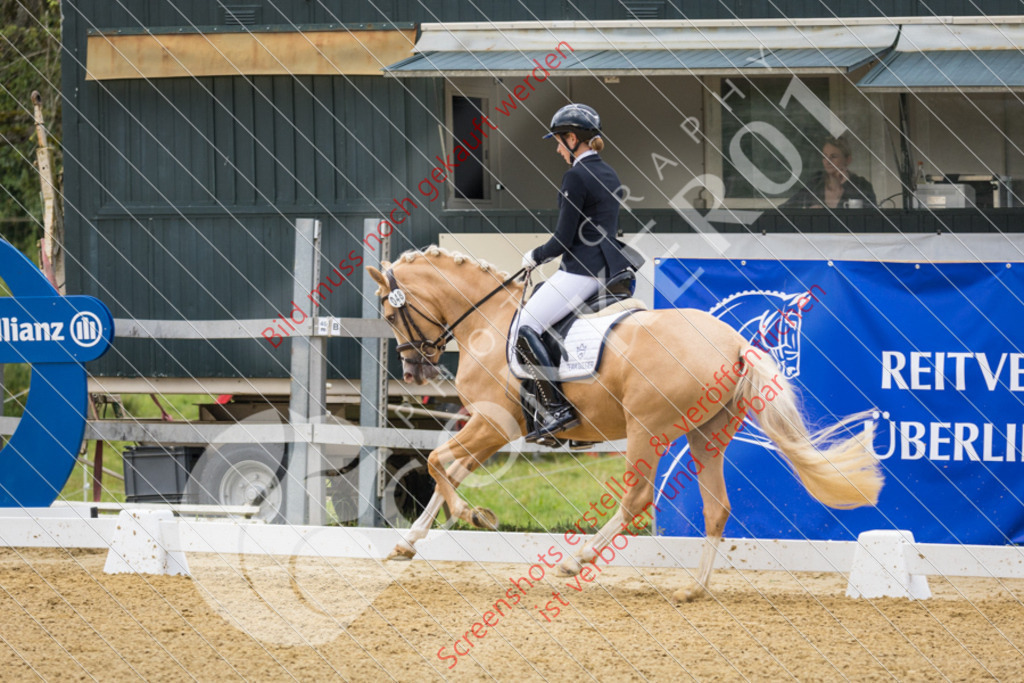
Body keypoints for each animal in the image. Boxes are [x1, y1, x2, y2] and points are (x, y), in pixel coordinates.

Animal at [368, 248, 880, 602]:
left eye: (392, 313)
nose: (413, 371)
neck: (488, 320)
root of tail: (734, 344)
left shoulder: (495, 425)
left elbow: (438, 463)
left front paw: (474, 516)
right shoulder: (488, 428)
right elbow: (448, 470)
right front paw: (408, 543)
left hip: (645, 430)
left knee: (637, 499)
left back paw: (577, 560)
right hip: (706, 435)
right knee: (716, 508)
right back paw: (693, 589)